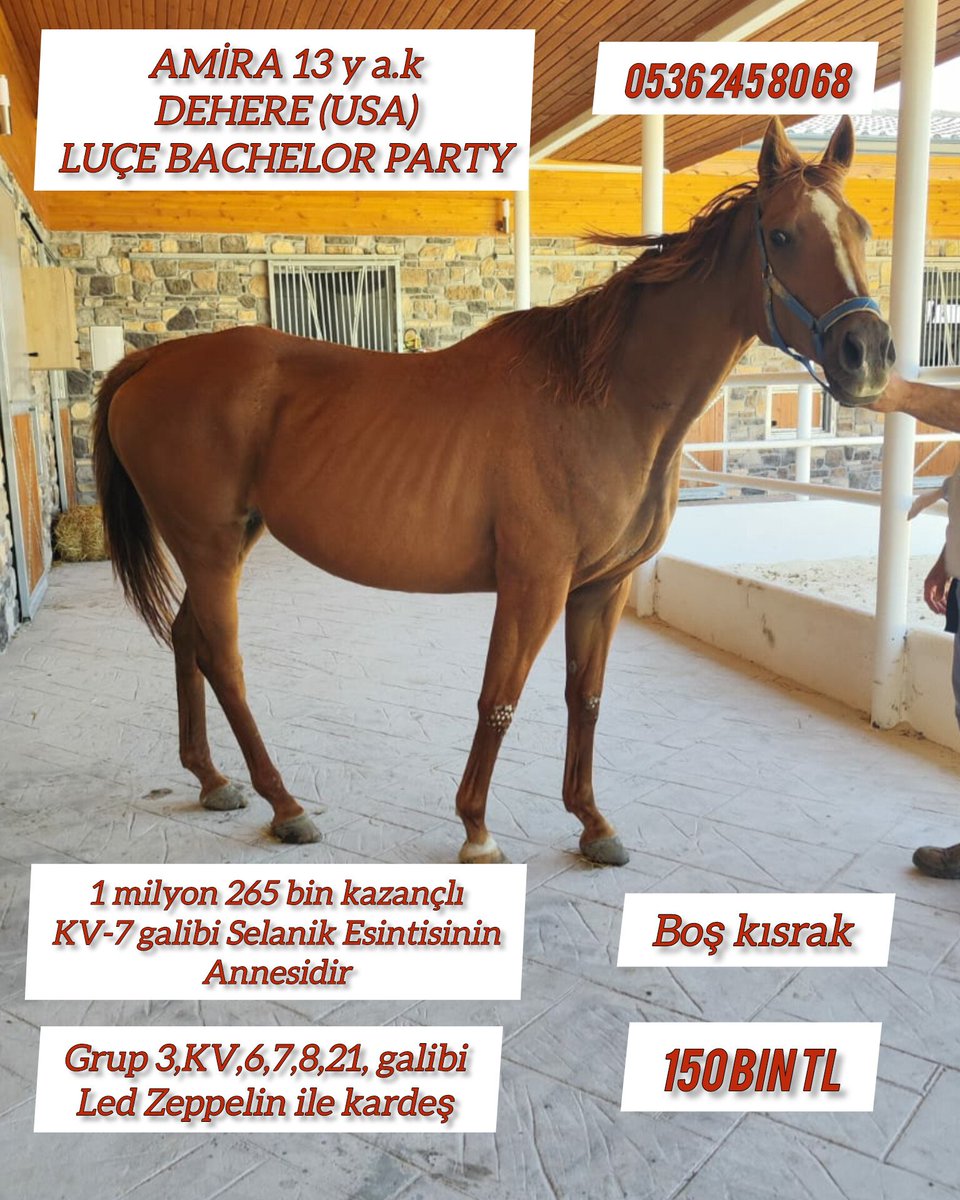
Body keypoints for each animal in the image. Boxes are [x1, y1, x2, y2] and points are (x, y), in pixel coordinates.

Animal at [93, 116, 894, 867]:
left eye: (861, 228)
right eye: (783, 235)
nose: (868, 355)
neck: (603, 398)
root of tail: (155, 359)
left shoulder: (602, 588)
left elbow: (585, 698)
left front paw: (593, 823)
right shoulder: (534, 583)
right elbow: (500, 699)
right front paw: (476, 829)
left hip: (227, 541)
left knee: (188, 639)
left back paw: (212, 781)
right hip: (209, 545)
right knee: (224, 661)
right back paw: (285, 805)